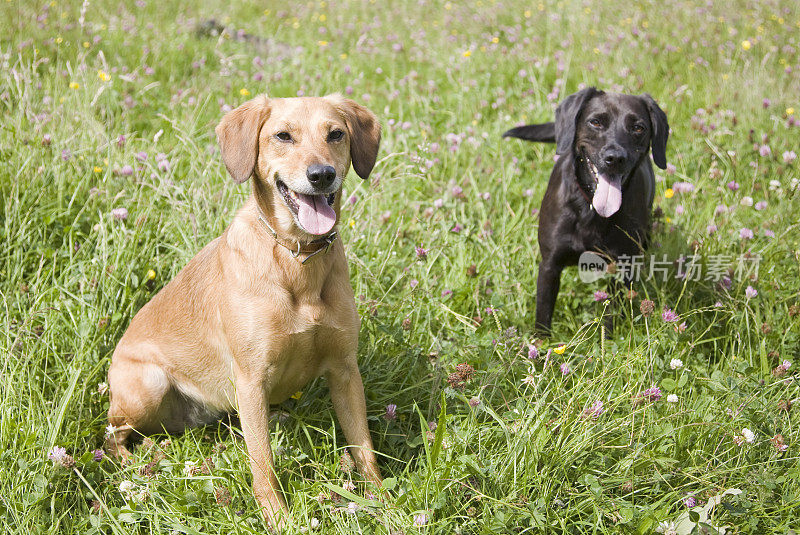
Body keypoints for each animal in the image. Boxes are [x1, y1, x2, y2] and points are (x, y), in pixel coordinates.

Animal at [506, 89, 668, 336]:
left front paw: (607, 341)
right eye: (596, 122)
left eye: (638, 128)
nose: (615, 158)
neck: (592, 209)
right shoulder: (549, 265)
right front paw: (541, 344)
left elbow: (612, 315)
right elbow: (543, 315)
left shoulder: (622, 267)